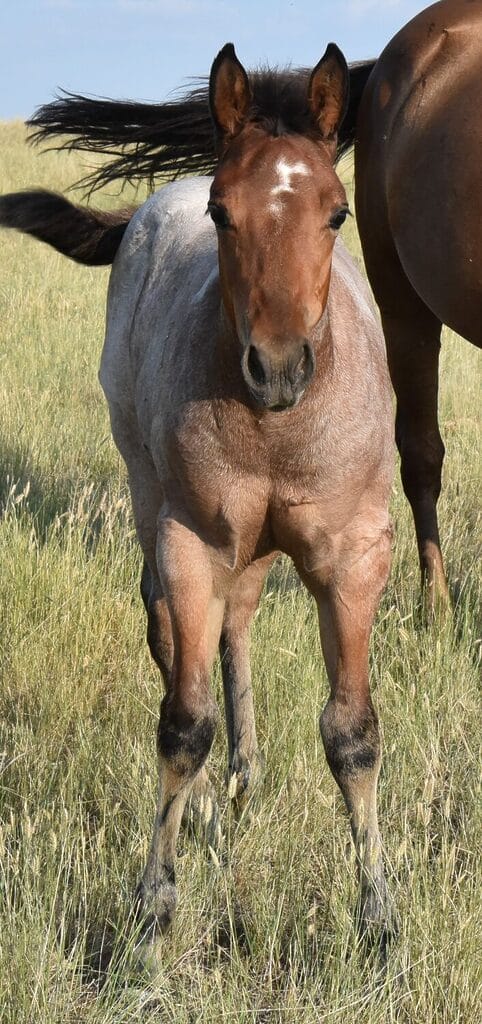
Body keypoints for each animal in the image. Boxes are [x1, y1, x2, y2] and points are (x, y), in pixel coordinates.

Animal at [0, 44, 397, 946]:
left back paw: (248, 776)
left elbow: (353, 733)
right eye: (222, 214)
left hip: (251, 549)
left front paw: (380, 920)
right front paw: (154, 908)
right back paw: (217, 808)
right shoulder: (192, 543)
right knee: (171, 634)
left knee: (238, 624)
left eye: (338, 214)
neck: (279, 430)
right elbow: (183, 726)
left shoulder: (355, 555)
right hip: (155, 500)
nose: (278, 367)